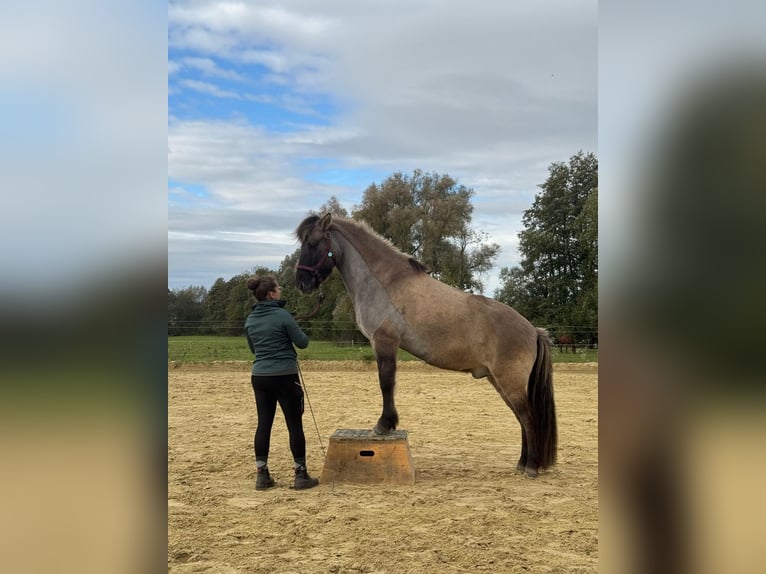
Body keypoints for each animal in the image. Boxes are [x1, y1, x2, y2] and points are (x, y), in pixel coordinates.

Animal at [294, 214, 560, 480]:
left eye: (313, 243)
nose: (302, 283)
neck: (384, 284)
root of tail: (533, 330)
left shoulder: (384, 342)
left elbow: (386, 384)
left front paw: (384, 425)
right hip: (499, 381)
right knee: (521, 418)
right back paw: (522, 463)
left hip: (510, 381)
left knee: (528, 417)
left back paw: (531, 467)